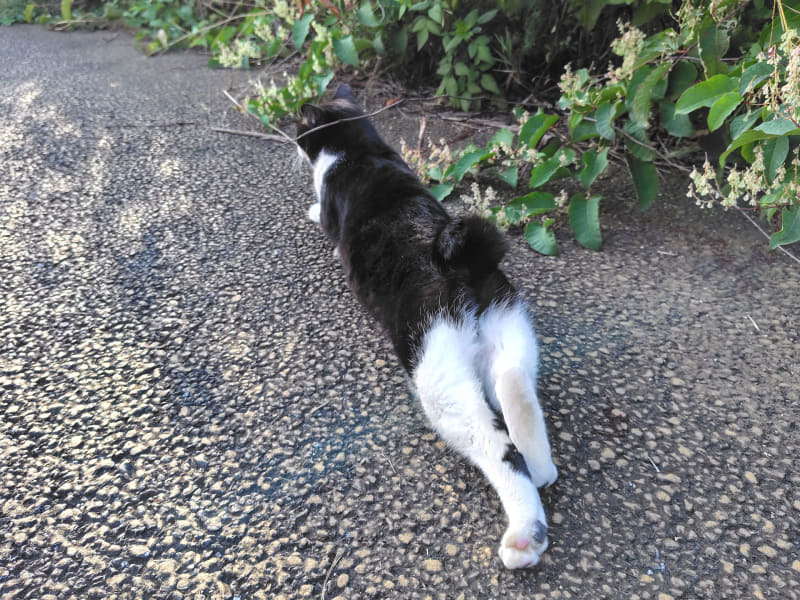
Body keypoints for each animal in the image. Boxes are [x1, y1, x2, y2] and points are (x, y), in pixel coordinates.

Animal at [295, 84, 558, 569]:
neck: (360, 149)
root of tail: (459, 258)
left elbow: (320, 214)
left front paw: (308, 207)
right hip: (507, 324)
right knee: (515, 383)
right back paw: (541, 464)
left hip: (438, 376)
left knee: (498, 447)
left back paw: (525, 536)